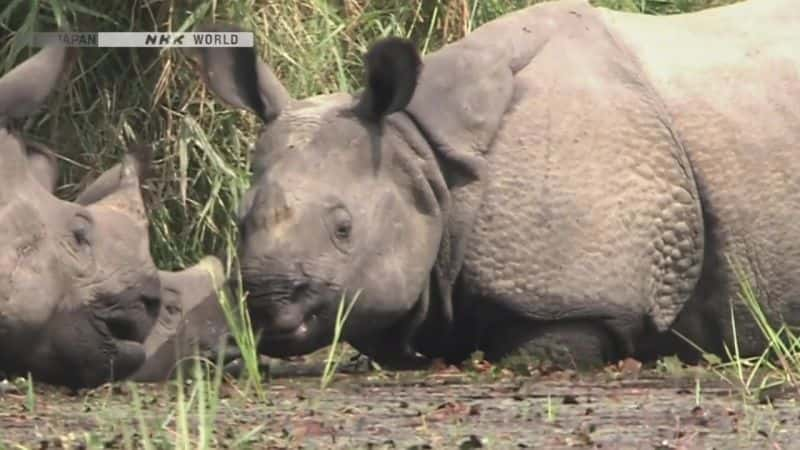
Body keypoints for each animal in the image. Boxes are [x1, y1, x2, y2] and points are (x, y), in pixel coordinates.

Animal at [192, 0, 800, 370]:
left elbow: (539, 350)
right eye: (238, 222)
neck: (419, 153)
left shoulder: (575, 296)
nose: (270, 307)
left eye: (344, 228)